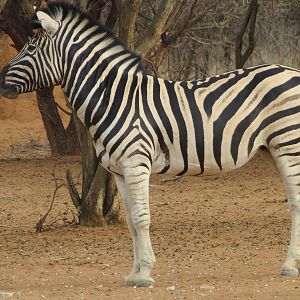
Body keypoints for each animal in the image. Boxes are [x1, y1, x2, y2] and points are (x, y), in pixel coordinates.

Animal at [0, 0, 300, 288]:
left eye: (30, 48)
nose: (1, 80)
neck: (115, 99)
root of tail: (291, 70)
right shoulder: (119, 171)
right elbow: (132, 221)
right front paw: (134, 273)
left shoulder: (136, 163)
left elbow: (142, 218)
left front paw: (144, 274)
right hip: (276, 148)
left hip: (289, 145)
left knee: (296, 202)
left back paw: (289, 266)